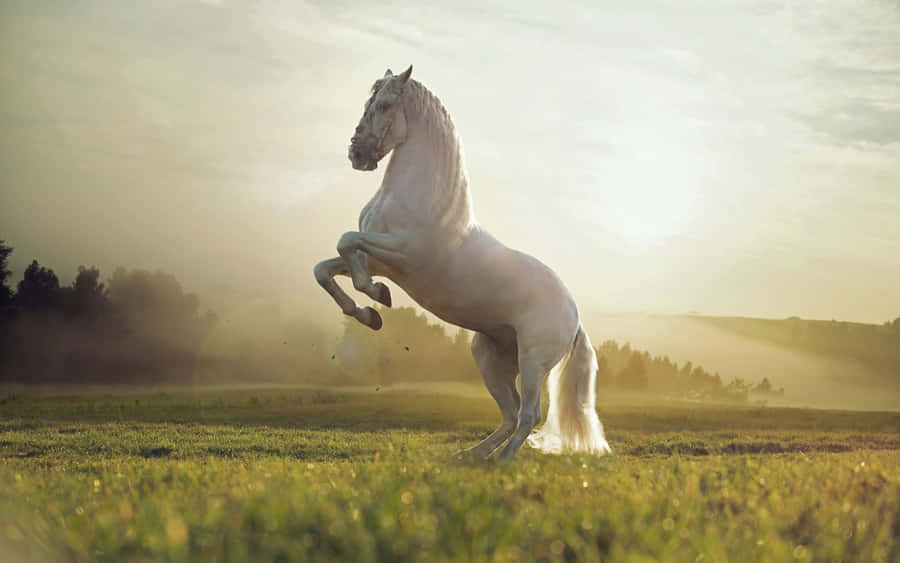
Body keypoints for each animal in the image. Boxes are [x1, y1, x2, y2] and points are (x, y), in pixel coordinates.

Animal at [314, 66, 611, 459]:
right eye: (368, 102)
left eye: (386, 104)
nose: (357, 154)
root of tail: (574, 316)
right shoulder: (377, 260)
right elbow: (326, 268)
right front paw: (369, 313)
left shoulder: (402, 253)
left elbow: (346, 241)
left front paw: (376, 297)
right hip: (490, 358)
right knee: (510, 414)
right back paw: (470, 456)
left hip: (533, 362)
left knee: (528, 414)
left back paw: (501, 461)